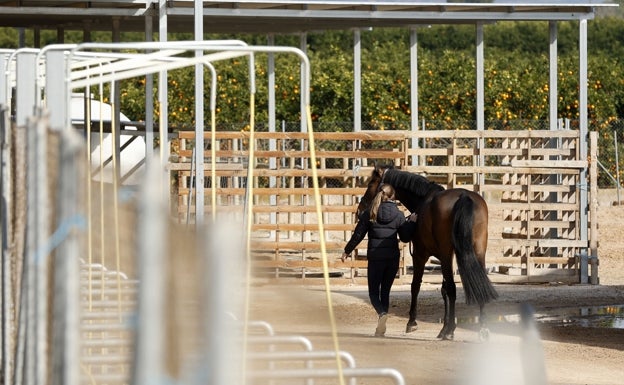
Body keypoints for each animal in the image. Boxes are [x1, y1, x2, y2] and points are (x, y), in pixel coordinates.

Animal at [358, 164, 500, 338]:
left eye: (371, 182)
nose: (360, 209)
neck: (423, 200)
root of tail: (464, 196)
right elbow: (444, 290)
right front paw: (444, 327)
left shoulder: (421, 255)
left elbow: (416, 286)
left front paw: (412, 322)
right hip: (478, 252)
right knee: (479, 283)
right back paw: (482, 328)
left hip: (446, 254)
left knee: (453, 288)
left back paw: (451, 331)